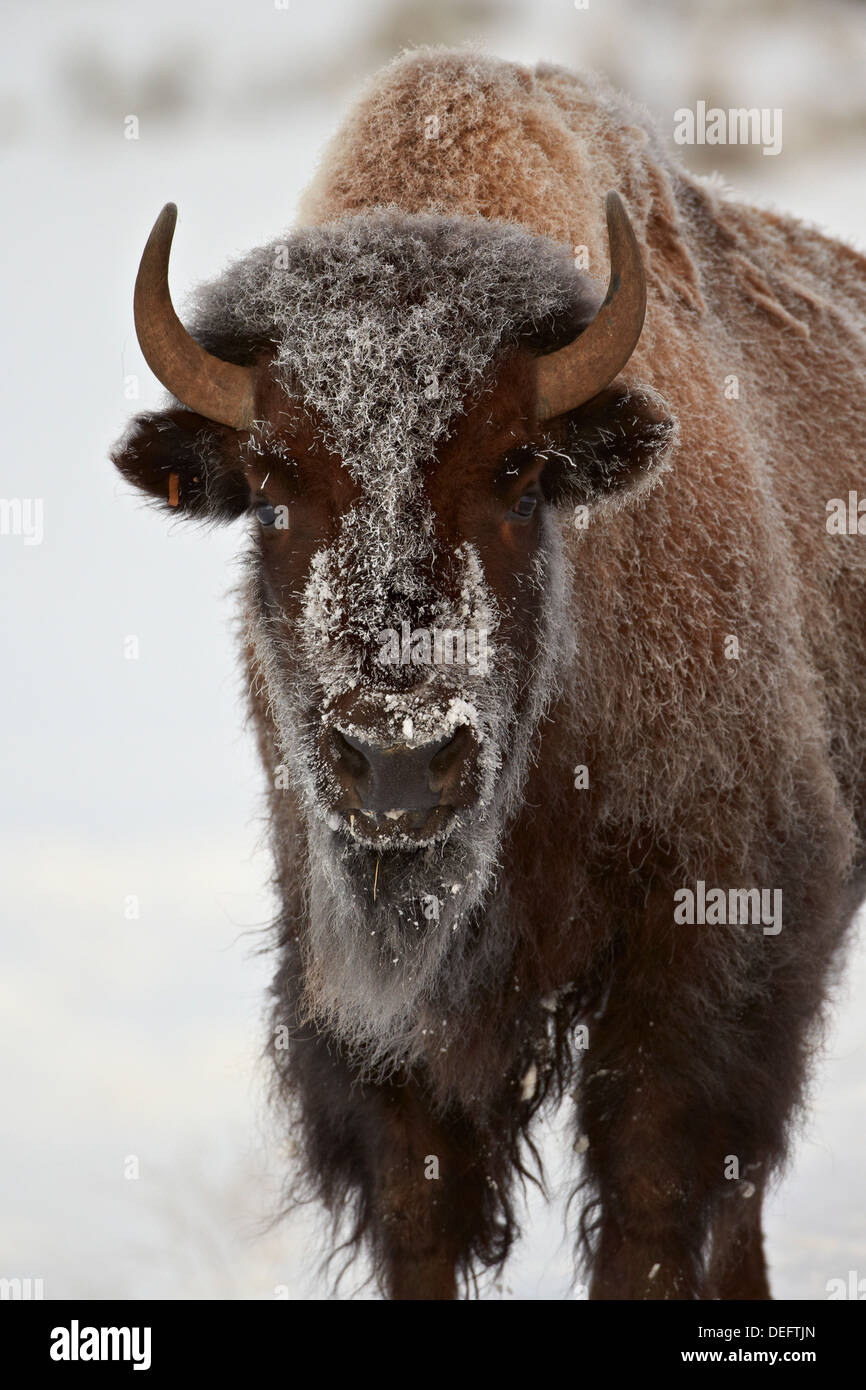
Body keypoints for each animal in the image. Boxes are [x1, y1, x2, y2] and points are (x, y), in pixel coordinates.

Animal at [111, 48, 866, 1299]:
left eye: (518, 471)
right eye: (268, 488)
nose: (397, 759)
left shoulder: (711, 940)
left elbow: (653, 1199)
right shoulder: (362, 1006)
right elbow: (421, 1210)